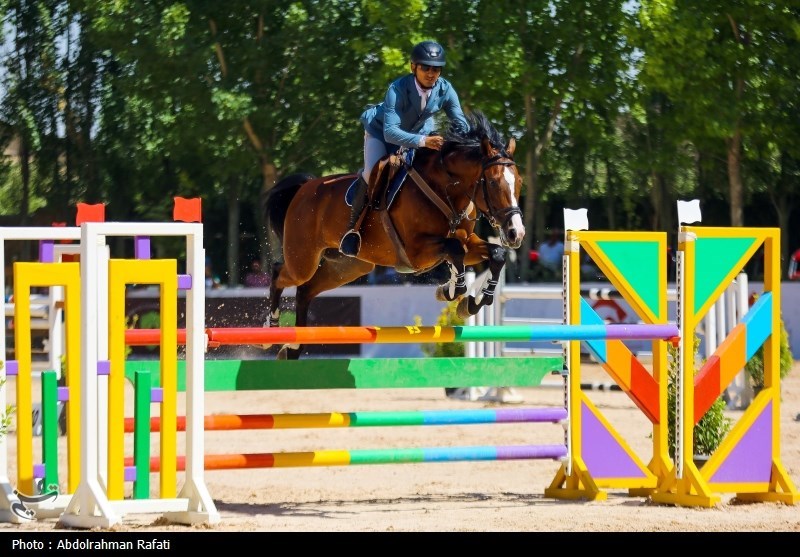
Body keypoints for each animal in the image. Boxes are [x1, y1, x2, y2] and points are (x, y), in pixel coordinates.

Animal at [262, 111, 524, 358]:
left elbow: (495, 254)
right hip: (303, 260)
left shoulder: (467, 243)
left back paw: (293, 347)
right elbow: (455, 251)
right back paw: (270, 331)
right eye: (493, 182)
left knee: (305, 291)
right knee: (279, 273)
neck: (445, 189)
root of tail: (303, 189)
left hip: (347, 267)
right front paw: (452, 291)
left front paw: (474, 302)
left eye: (519, 182)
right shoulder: (417, 252)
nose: (516, 233)